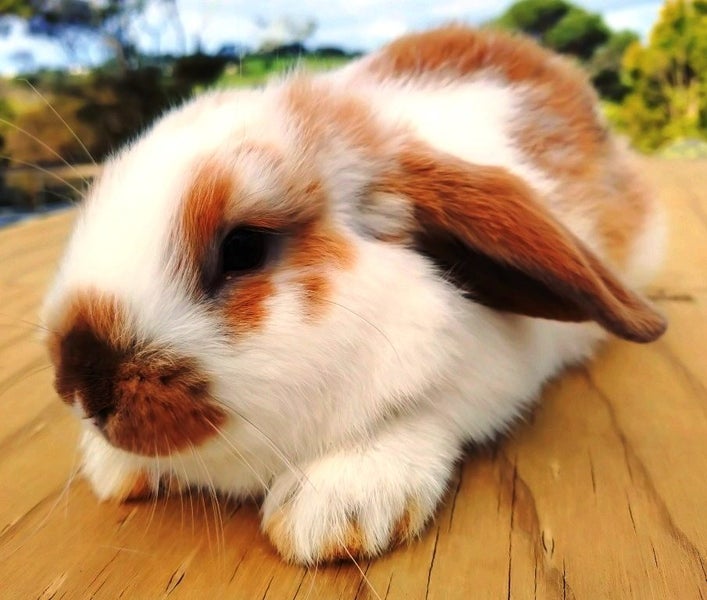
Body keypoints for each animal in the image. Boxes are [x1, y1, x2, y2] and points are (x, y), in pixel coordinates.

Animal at [41, 25, 667, 564]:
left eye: (244, 248)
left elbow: (422, 411)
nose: (81, 385)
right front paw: (110, 468)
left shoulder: (492, 378)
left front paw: (327, 514)